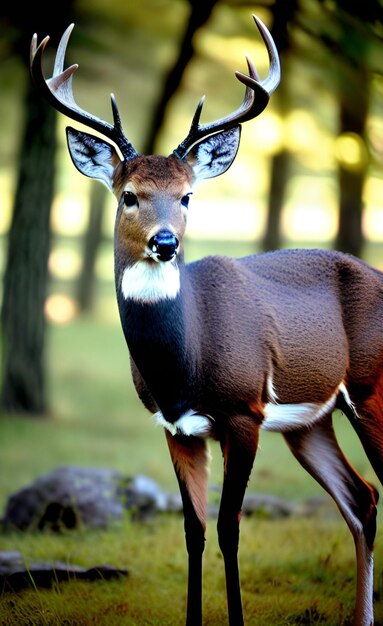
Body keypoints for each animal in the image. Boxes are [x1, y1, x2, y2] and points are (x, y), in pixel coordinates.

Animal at [30, 17, 383, 624]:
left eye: (188, 196)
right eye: (129, 195)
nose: (165, 243)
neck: (185, 362)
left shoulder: (243, 412)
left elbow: (228, 528)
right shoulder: (175, 426)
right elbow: (193, 530)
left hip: (372, 387)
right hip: (310, 421)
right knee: (362, 498)